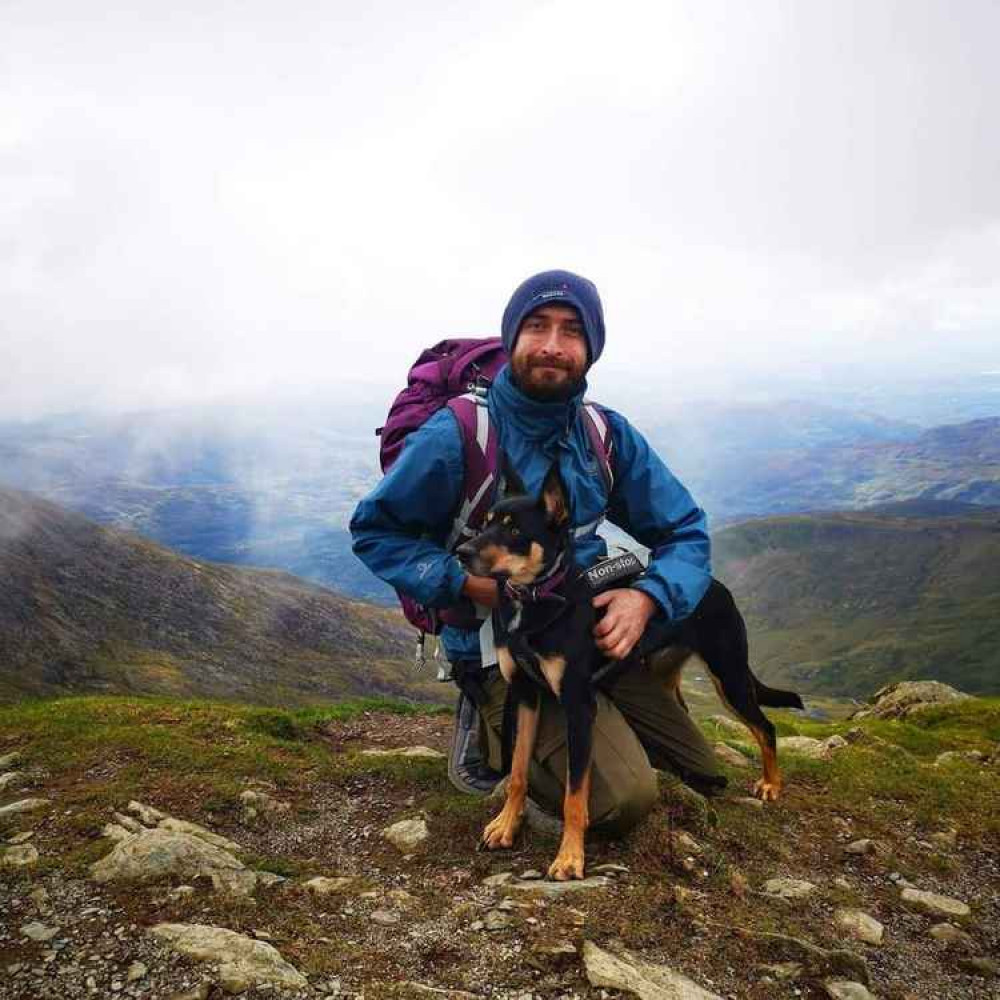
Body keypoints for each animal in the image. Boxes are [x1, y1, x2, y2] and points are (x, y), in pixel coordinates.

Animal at [458, 464, 800, 880]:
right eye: (485, 523)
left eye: (514, 531)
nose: (460, 553)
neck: (538, 602)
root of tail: (714, 583)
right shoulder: (525, 696)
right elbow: (519, 773)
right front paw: (507, 824)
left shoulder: (578, 707)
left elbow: (575, 795)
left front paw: (570, 857)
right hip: (668, 676)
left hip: (729, 674)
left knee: (766, 727)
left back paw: (770, 785)